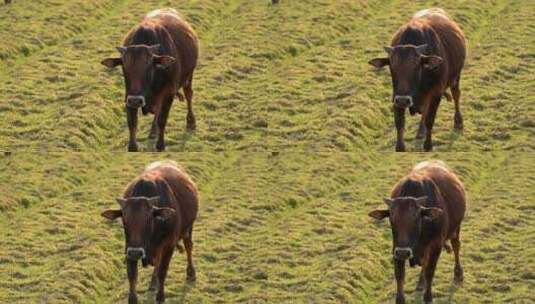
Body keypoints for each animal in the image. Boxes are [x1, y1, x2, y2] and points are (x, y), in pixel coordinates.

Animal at [101, 8, 200, 152]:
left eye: (149, 66)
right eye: (124, 66)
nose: (136, 100)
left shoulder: (169, 94)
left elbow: (162, 120)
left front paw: (160, 145)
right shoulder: (129, 96)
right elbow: (132, 123)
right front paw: (133, 146)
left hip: (189, 76)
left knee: (188, 95)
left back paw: (191, 122)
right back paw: (153, 131)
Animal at [101, 160, 200, 302]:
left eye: (148, 219)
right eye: (124, 219)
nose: (136, 252)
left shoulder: (169, 246)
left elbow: (162, 272)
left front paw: (160, 296)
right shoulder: (129, 249)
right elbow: (132, 278)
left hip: (188, 228)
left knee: (188, 247)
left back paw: (191, 273)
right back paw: (153, 283)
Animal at [368, 160, 464, 302]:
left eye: (416, 217)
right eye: (391, 217)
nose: (404, 252)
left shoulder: (436, 246)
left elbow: (430, 272)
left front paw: (428, 296)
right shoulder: (396, 248)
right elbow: (400, 276)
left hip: (456, 228)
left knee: (456, 246)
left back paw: (458, 273)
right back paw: (420, 282)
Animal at [370, 8, 466, 152]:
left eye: (416, 66)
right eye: (392, 66)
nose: (403, 100)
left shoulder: (436, 93)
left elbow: (430, 120)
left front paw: (428, 145)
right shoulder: (396, 96)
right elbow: (400, 123)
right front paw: (400, 146)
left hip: (456, 77)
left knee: (456, 95)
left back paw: (458, 122)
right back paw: (421, 131)